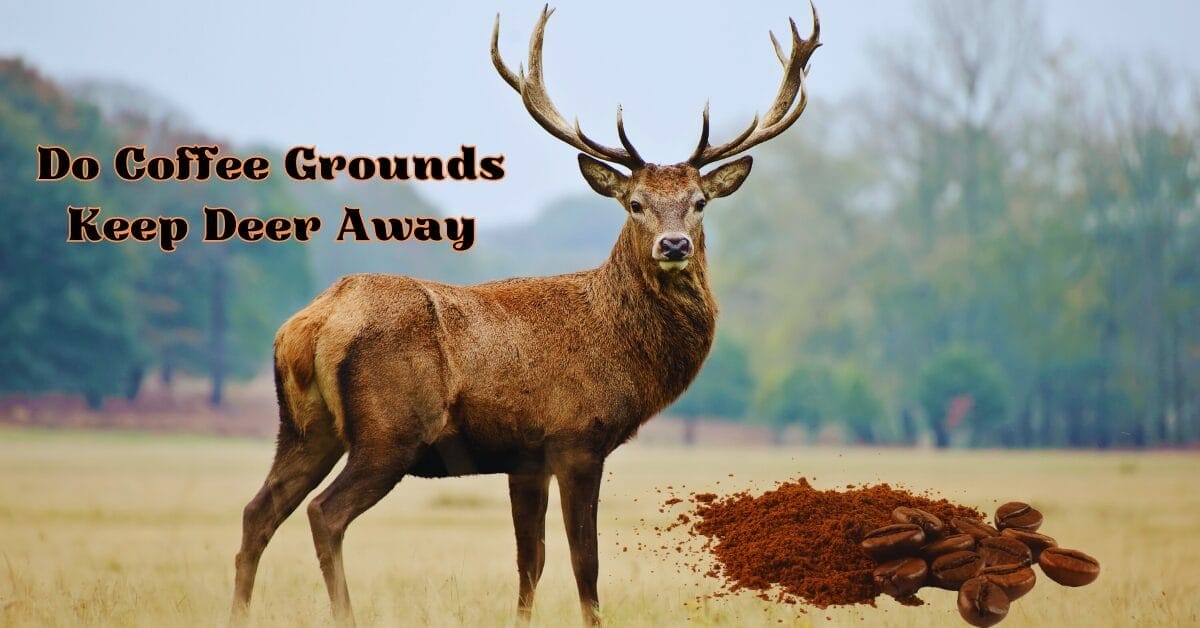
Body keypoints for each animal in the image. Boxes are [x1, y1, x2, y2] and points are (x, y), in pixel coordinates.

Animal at [229, 4, 820, 626]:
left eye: (700, 202)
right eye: (634, 204)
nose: (675, 244)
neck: (622, 349)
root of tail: (312, 323)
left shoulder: (525, 458)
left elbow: (529, 563)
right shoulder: (576, 438)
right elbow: (585, 563)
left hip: (304, 427)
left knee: (257, 512)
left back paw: (238, 611)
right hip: (389, 430)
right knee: (325, 514)